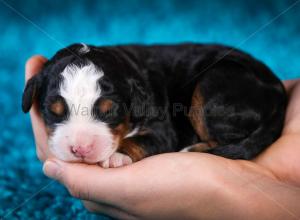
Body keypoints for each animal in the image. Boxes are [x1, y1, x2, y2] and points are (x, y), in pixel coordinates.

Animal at [22, 43, 288, 168]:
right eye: (52, 111)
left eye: (110, 112)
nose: (80, 149)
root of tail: (277, 92)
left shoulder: (164, 130)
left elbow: (142, 140)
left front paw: (116, 155)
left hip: (212, 86)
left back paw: (192, 149)